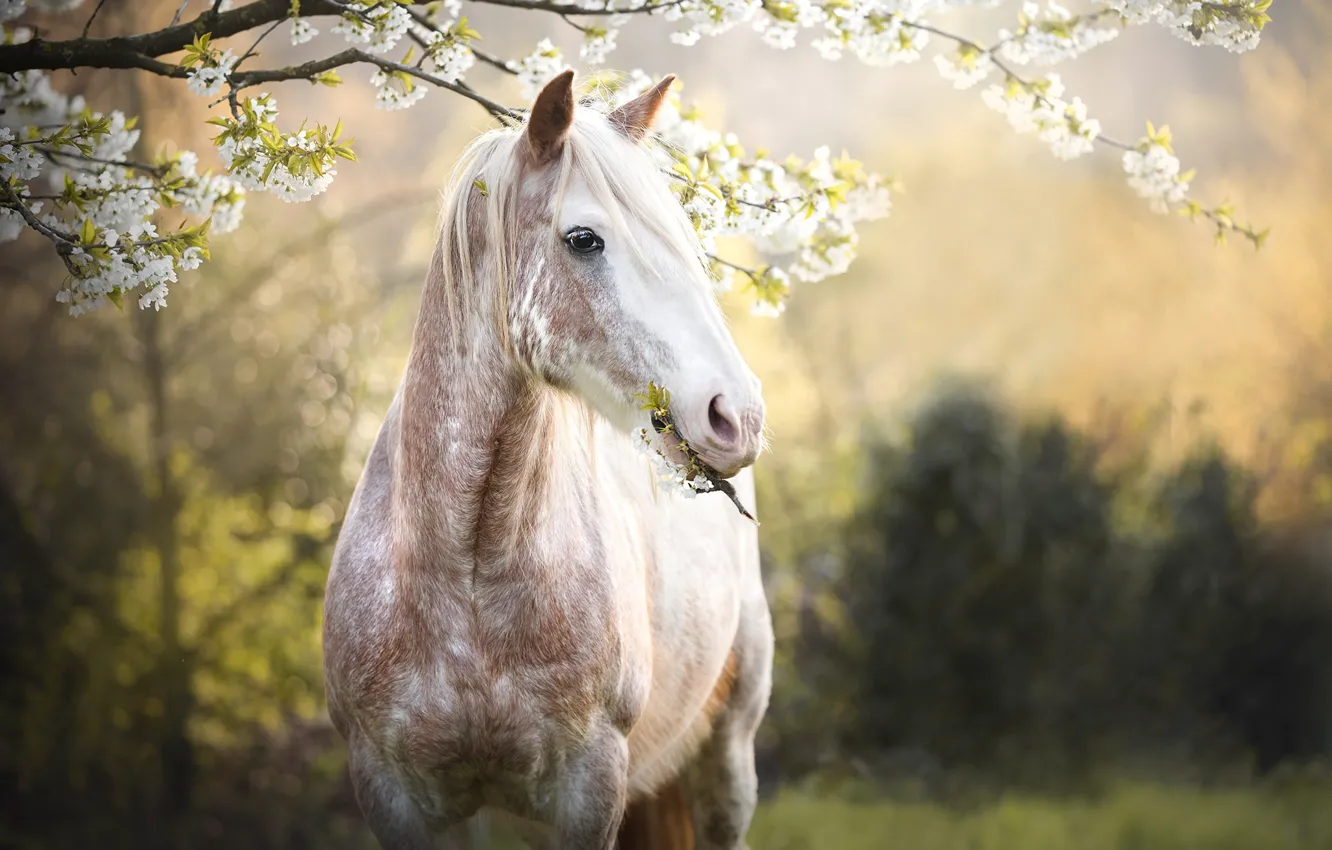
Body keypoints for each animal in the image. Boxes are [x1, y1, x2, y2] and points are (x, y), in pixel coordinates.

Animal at [322, 68, 777, 850]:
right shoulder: (395, 794)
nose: (736, 414)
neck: (468, 580)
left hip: (728, 755)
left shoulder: (588, 790)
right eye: (584, 238)